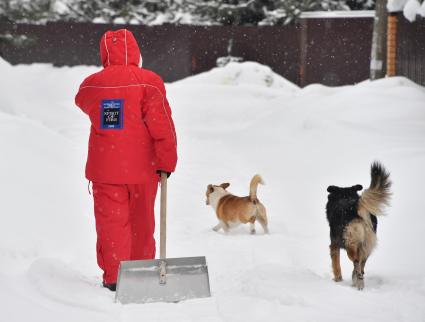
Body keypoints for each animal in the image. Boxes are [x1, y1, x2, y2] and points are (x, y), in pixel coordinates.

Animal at [324, 162, 390, 290]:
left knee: (356, 262)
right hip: (367, 243)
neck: (345, 197)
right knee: (361, 263)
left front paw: (338, 280)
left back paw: (358, 282)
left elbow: (336, 264)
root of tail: (355, 207)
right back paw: (357, 280)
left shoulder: (334, 244)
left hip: (350, 243)